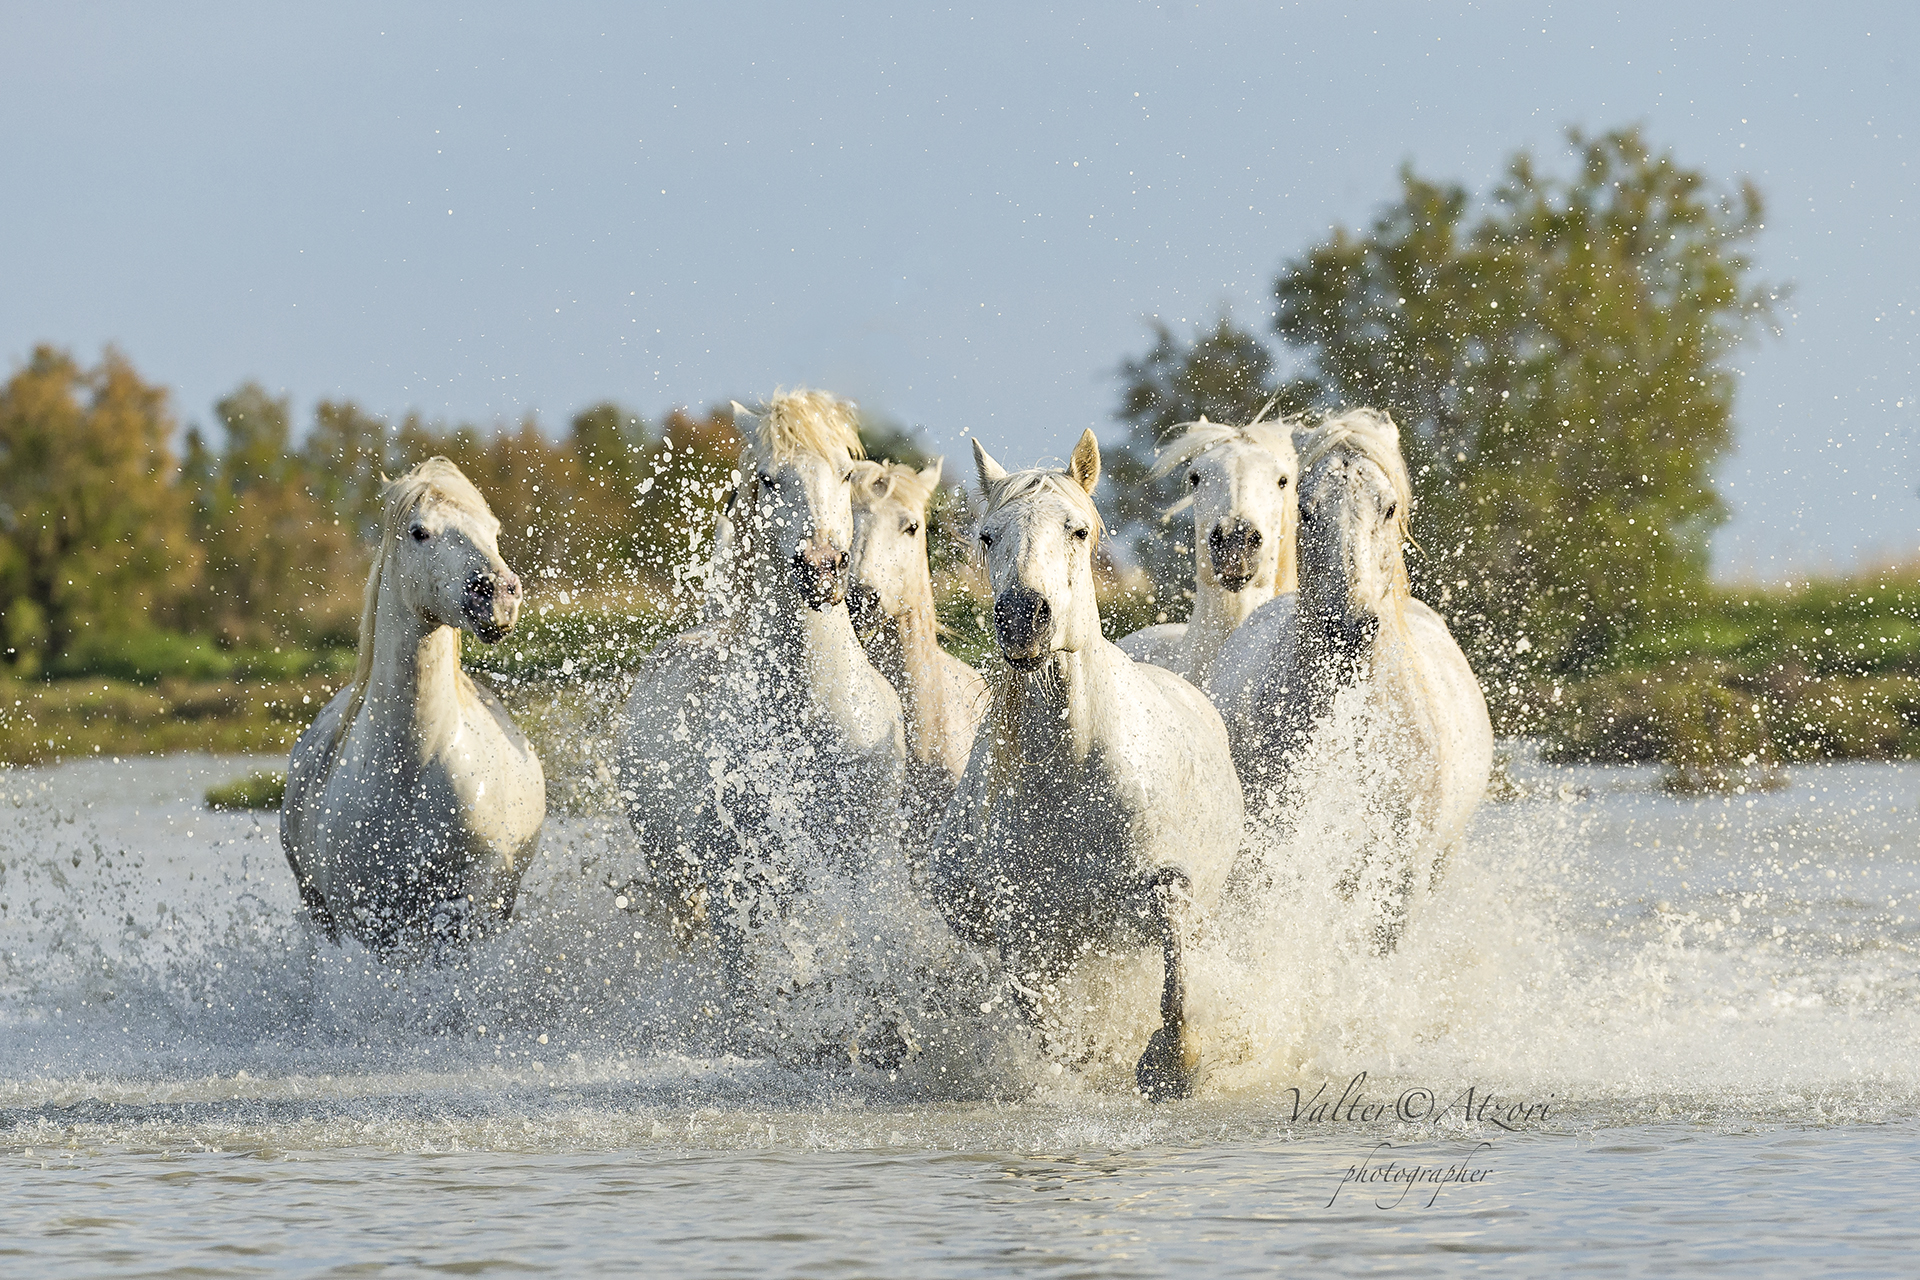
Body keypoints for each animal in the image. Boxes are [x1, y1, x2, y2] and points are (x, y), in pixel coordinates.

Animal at [282, 457, 546, 959]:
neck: (412, 765)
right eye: (419, 531)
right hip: (316, 910)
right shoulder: (364, 918)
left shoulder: (474, 901)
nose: (499, 594)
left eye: (493, 529)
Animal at [615, 390, 905, 975]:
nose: (821, 567)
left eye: (845, 474)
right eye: (770, 479)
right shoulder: (738, 885)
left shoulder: (859, 867)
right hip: (674, 880)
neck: (812, 712)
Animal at [930, 430, 1244, 1100]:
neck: (1070, 774)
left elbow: (1175, 961)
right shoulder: (1023, 927)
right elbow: (1043, 1019)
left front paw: (1172, 1063)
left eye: (1077, 530)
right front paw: (1079, 1066)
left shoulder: (1168, 883)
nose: (1023, 616)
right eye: (988, 535)